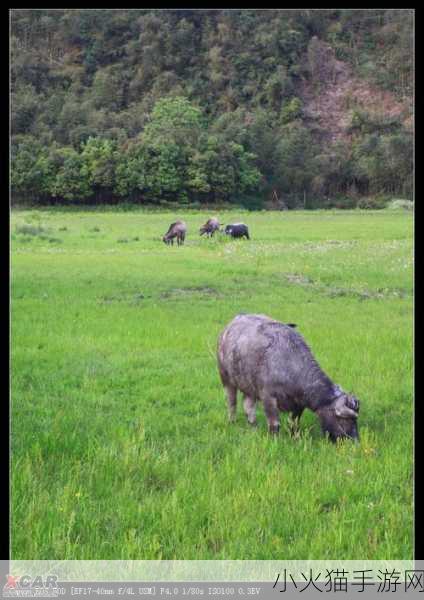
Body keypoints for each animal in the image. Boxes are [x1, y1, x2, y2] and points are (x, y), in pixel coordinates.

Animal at [217, 314, 360, 440]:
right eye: (343, 419)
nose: (355, 440)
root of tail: (227, 328)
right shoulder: (268, 398)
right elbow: (274, 424)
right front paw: (274, 439)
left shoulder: (299, 404)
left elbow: (294, 423)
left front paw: (294, 437)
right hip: (226, 379)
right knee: (231, 402)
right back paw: (232, 421)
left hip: (249, 387)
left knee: (248, 406)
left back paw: (253, 425)